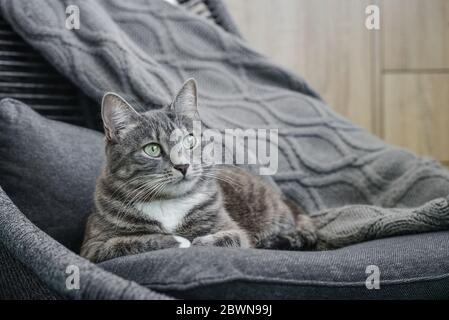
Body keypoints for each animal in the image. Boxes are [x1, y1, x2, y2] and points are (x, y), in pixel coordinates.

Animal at [81, 78, 318, 262]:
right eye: (152, 149)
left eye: (189, 140)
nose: (183, 166)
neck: (168, 203)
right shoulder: (92, 247)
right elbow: (126, 243)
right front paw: (177, 240)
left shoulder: (235, 230)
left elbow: (231, 238)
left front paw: (199, 241)